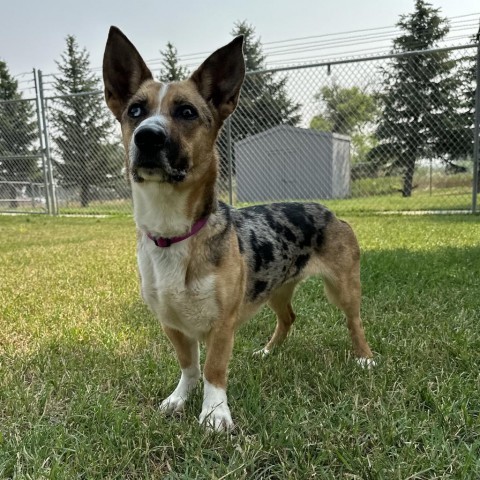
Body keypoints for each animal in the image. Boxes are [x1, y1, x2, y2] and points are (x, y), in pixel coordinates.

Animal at [102, 25, 376, 432]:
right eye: (135, 110)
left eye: (186, 112)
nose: (147, 136)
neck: (174, 230)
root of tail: (328, 210)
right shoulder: (172, 324)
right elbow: (189, 366)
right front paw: (179, 399)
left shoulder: (222, 325)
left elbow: (213, 370)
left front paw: (215, 413)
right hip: (276, 288)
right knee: (288, 317)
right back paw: (268, 350)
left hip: (344, 287)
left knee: (354, 322)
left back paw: (364, 356)